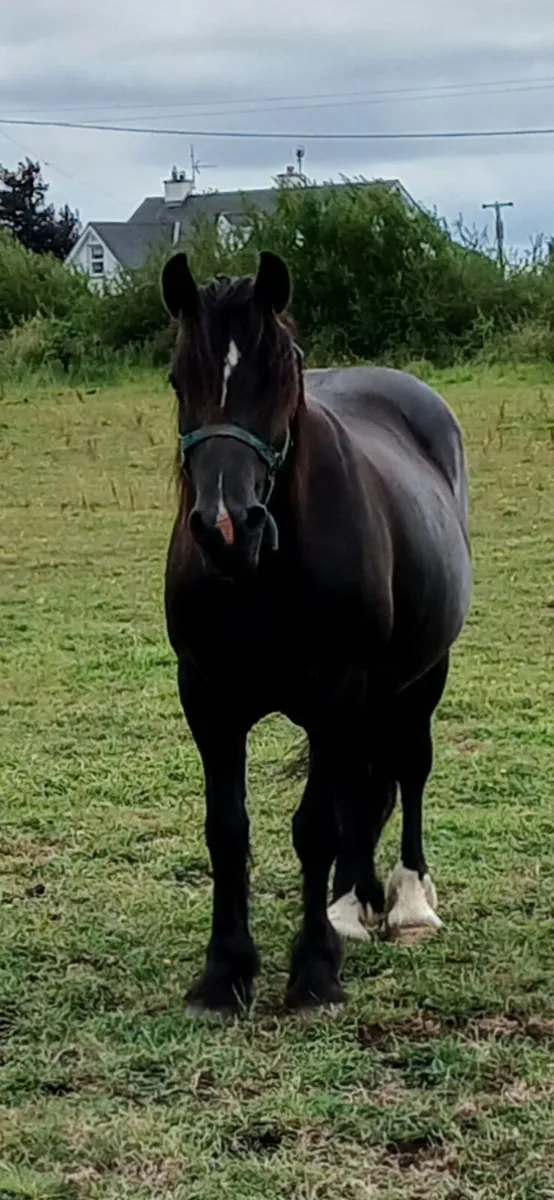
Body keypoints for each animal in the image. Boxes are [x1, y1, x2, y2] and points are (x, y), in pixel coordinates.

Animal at [161, 249, 472, 1014]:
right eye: (180, 378)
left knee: (409, 768)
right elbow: (228, 830)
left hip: (421, 677)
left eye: (279, 376)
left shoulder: (336, 693)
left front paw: (313, 972)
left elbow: (313, 828)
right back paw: (351, 902)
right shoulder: (207, 700)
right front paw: (225, 970)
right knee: (360, 786)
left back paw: (407, 901)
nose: (225, 527)